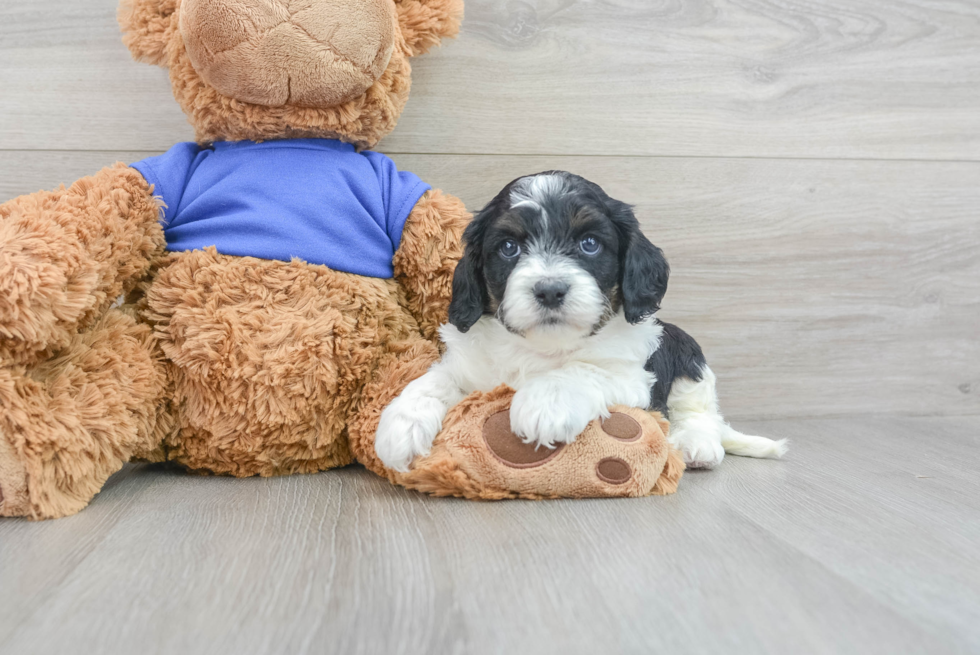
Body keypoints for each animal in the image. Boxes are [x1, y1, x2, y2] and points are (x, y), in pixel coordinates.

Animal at [376, 173, 788, 472]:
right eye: (509, 248)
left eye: (589, 243)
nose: (550, 290)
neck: (543, 348)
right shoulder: (471, 366)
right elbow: (435, 380)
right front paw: (401, 423)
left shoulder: (633, 378)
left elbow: (583, 370)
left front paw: (545, 402)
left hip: (684, 349)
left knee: (700, 411)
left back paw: (696, 444)